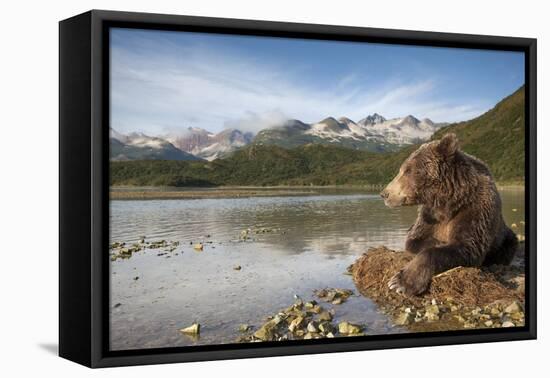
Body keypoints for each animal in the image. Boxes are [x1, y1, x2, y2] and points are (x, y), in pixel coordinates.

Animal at [382, 133, 520, 296]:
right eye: (402, 170)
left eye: (408, 170)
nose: (385, 193)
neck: (449, 201)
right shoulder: (430, 216)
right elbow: (415, 240)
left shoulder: (474, 210)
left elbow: (466, 246)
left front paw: (400, 282)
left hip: (505, 238)